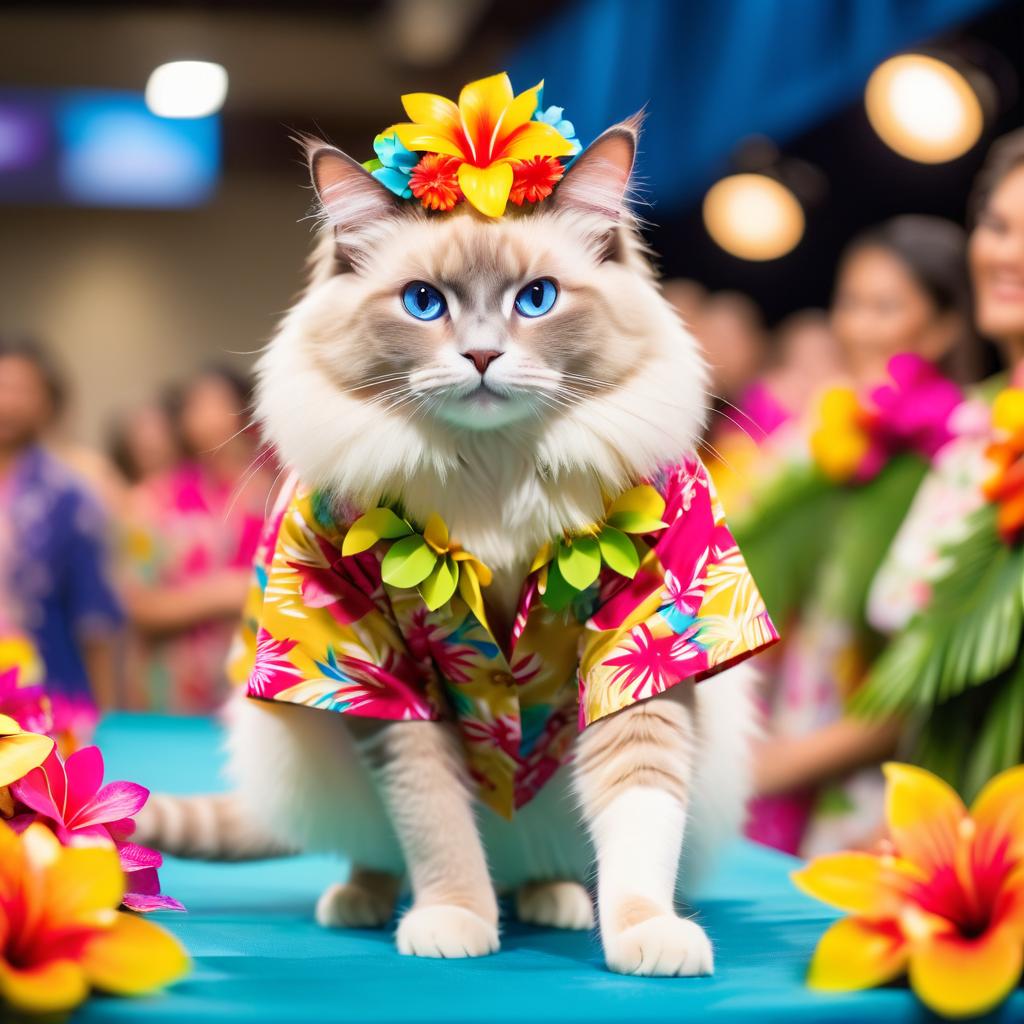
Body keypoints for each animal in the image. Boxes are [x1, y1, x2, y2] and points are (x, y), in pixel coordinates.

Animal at [136, 96, 774, 974]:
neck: (492, 478)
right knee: (378, 848)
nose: (480, 355)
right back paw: (365, 901)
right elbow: (434, 824)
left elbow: (639, 815)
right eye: (423, 303)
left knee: (553, 855)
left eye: (536, 299)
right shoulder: (382, 676)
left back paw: (554, 898)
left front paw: (648, 938)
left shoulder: (645, 649)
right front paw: (454, 922)